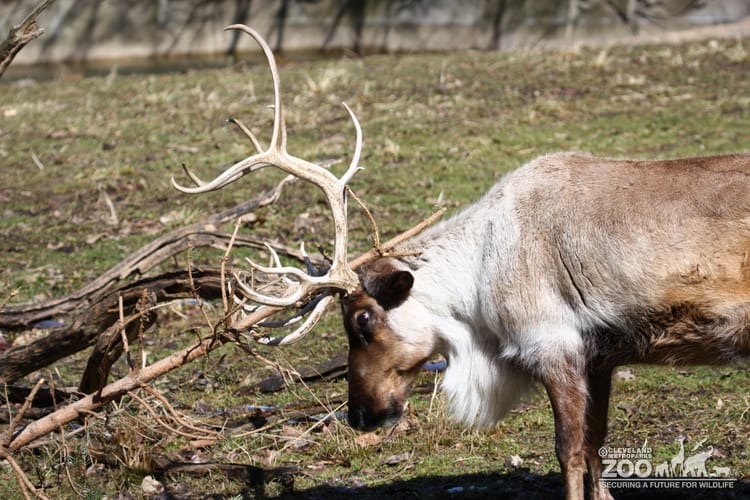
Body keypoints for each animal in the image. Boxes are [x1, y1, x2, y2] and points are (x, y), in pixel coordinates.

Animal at [173, 25, 750, 500]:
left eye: (362, 320)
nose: (360, 414)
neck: (478, 282)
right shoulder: (600, 356)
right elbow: (596, 449)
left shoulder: (552, 343)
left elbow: (569, 452)